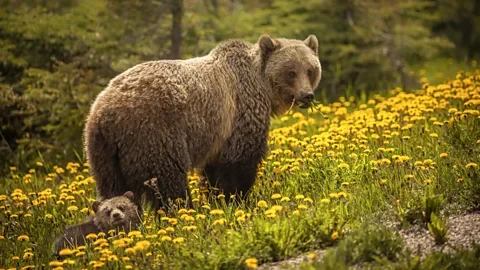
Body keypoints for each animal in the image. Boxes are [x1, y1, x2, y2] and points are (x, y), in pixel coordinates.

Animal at [84, 33, 322, 211]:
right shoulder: (240, 113)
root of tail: (103, 113)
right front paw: (237, 199)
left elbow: (214, 170)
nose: (307, 95)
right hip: (153, 133)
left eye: (310, 70)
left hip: (104, 153)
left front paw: (217, 199)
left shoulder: (219, 133)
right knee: (167, 180)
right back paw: (182, 211)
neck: (262, 86)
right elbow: (240, 162)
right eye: (291, 71)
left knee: (113, 188)